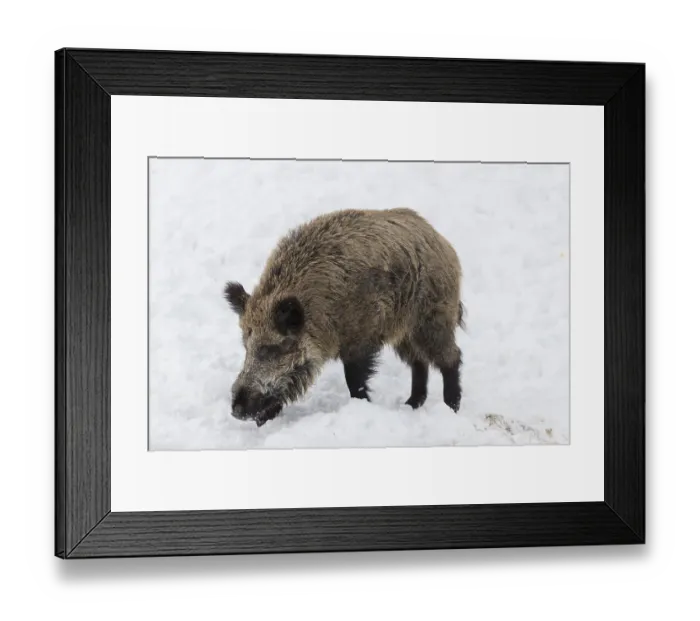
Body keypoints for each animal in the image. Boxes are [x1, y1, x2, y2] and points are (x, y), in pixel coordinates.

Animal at [224, 207, 465, 427]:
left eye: (271, 348)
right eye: (246, 346)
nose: (237, 411)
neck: (319, 313)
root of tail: (442, 242)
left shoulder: (359, 338)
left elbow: (354, 379)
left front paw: (362, 404)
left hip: (433, 318)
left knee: (451, 358)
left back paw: (451, 408)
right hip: (404, 332)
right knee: (419, 362)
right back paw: (411, 405)